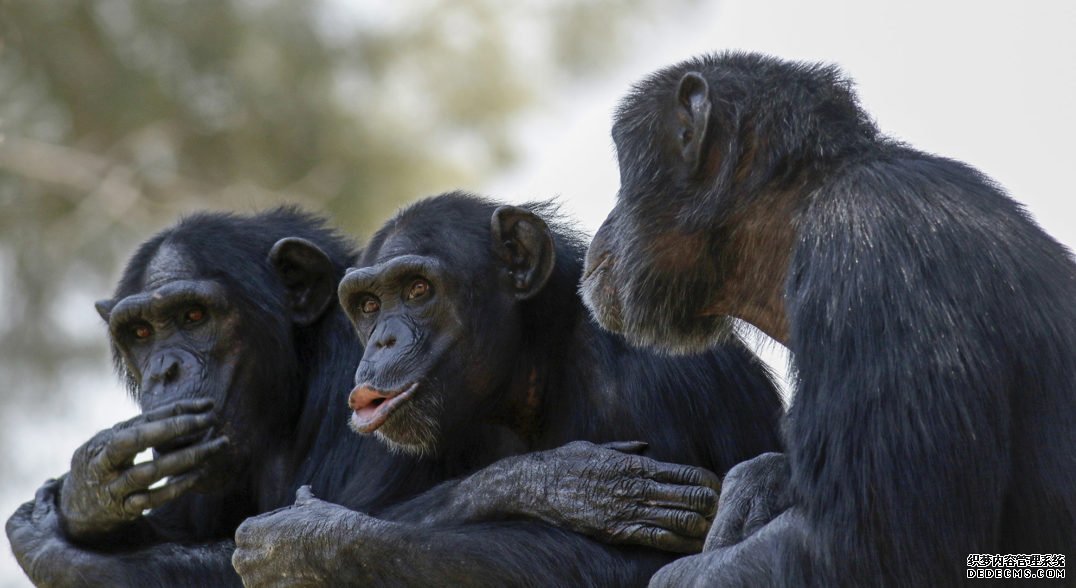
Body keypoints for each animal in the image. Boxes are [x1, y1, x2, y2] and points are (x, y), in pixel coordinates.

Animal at [229, 191, 783, 581]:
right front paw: (560, 482)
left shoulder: (652, 380)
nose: (383, 339)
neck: (529, 365)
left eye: (418, 289)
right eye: (368, 305)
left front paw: (303, 542)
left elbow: (643, 566)